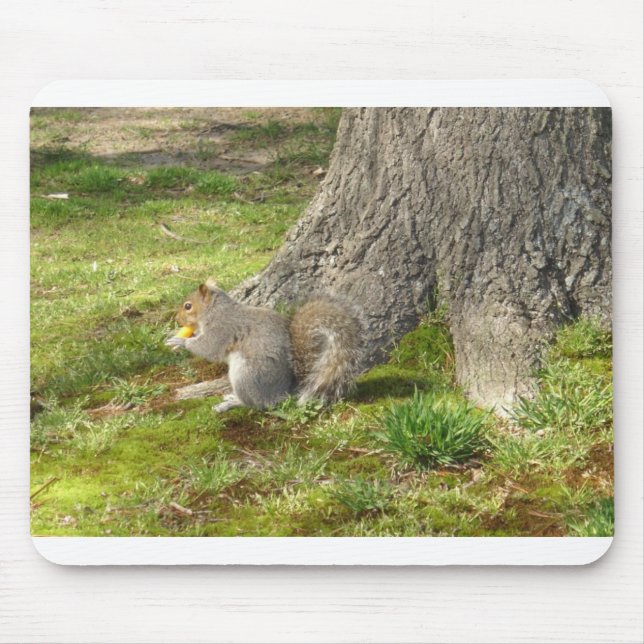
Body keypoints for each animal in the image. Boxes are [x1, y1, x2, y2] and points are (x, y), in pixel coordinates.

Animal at [165, 279, 365, 413]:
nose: (177, 319)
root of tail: (283, 392)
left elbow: (208, 348)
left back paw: (232, 402)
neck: (215, 311)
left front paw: (181, 342)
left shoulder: (222, 329)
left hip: (246, 375)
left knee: (257, 404)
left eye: (188, 306)